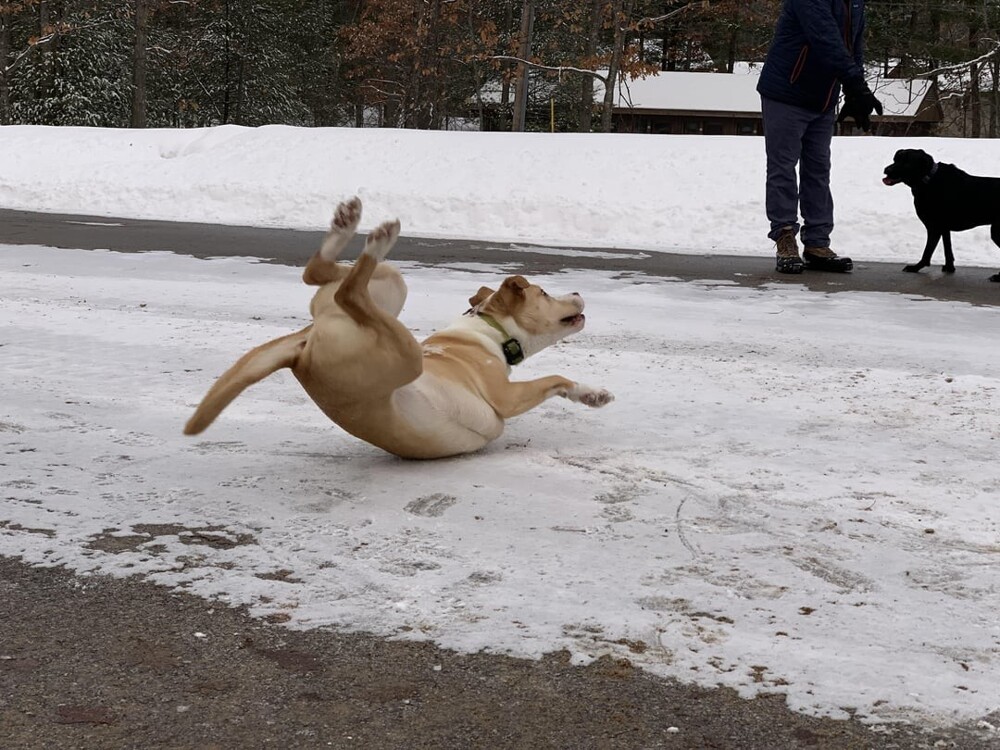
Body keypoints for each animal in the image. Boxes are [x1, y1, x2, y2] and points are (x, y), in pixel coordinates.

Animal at [884, 148, 1000, 284]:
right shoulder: (944, 228)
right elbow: (947, 249)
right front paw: (950, 268)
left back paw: (998, 277)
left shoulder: (934, 227)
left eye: (906, 162)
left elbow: (927, 252)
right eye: (895, 159)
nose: (886, 170)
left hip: (996, 232)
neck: (928, 179)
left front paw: (916, 267)